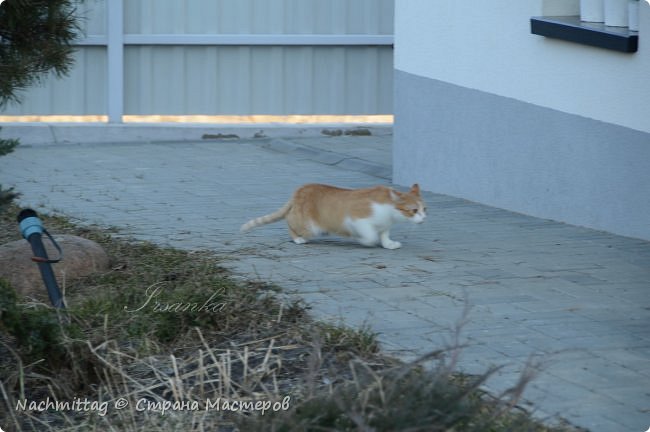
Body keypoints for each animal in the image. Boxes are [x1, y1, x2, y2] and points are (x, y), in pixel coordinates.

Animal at [239, 183, 426, 250]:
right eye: (414, 210)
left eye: (425, 209)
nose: (424, 218)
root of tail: (300, 190)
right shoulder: (357, 219)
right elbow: (370, 236)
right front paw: (363, 240)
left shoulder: (385, 226)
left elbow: (384, 235)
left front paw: (389, 244)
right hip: (309, 227)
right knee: (289, 222)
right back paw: (298, 239)